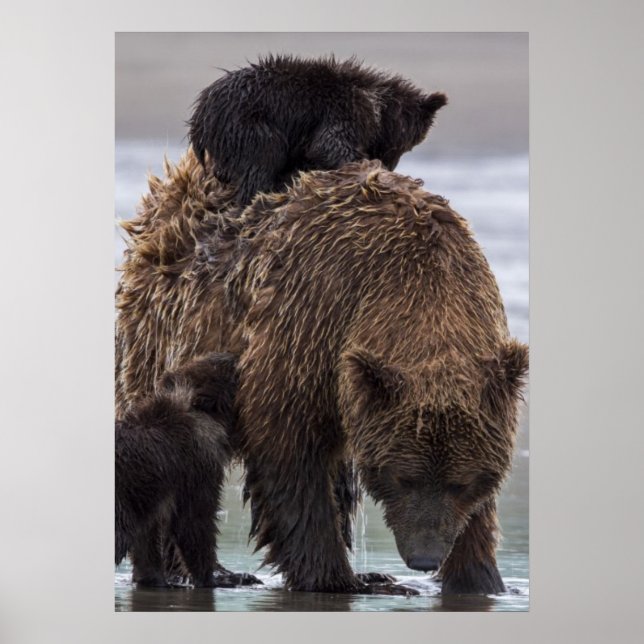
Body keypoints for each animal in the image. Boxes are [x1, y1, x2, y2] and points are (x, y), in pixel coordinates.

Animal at [115, 352, 260, 588]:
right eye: (234, 373)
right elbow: (193, 523)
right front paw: (222, 577)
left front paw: (155, 578)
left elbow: (147, 540)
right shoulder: (196, 467)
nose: (231, 355)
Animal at [188, 54, 447, 205]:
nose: (390, 165)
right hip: (248, 121)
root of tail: (201, 111)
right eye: (403, 146)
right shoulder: (344, 111)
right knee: (264, 157)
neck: (379, 107)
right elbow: (329, 145)